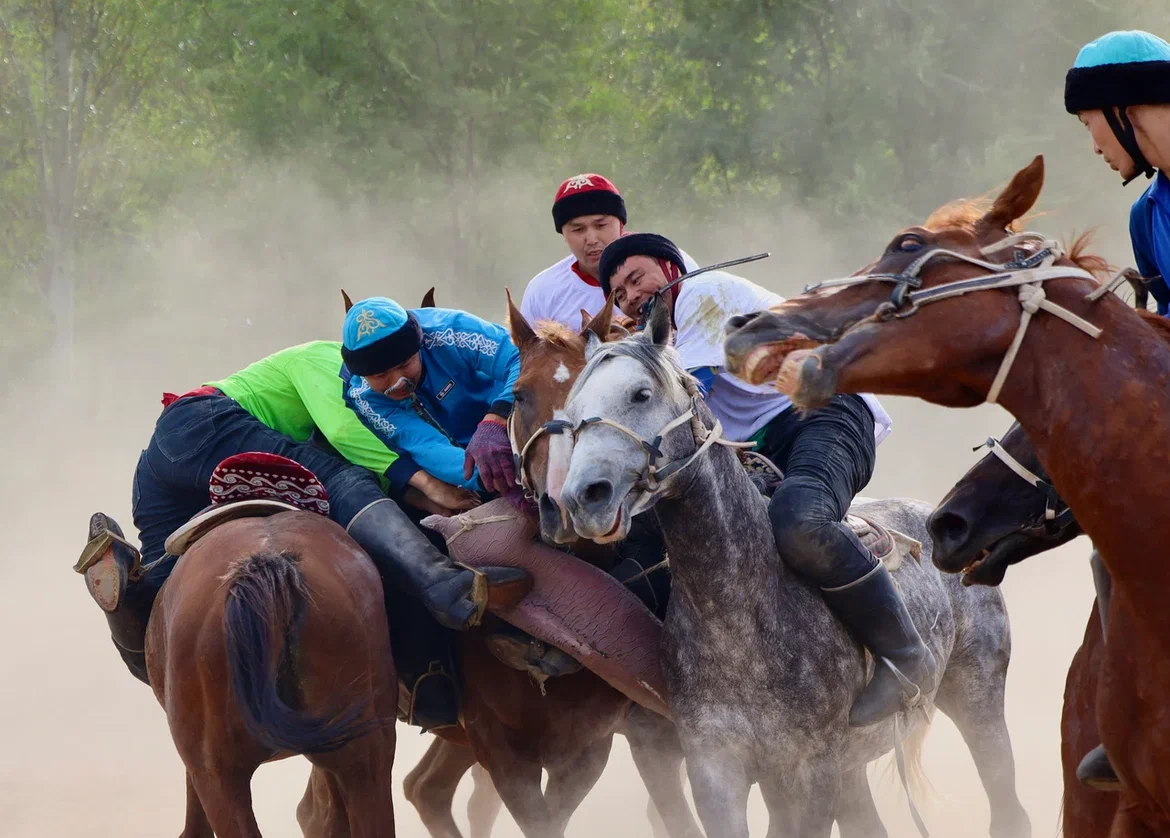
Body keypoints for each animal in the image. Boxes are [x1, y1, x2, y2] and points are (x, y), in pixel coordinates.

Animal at [542, 304, 1029, 838]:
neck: (739, 616)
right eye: (571, 411)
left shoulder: (809, 772)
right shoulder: (716, 770)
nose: (584, 498)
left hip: (978, 698)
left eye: (641, 393)